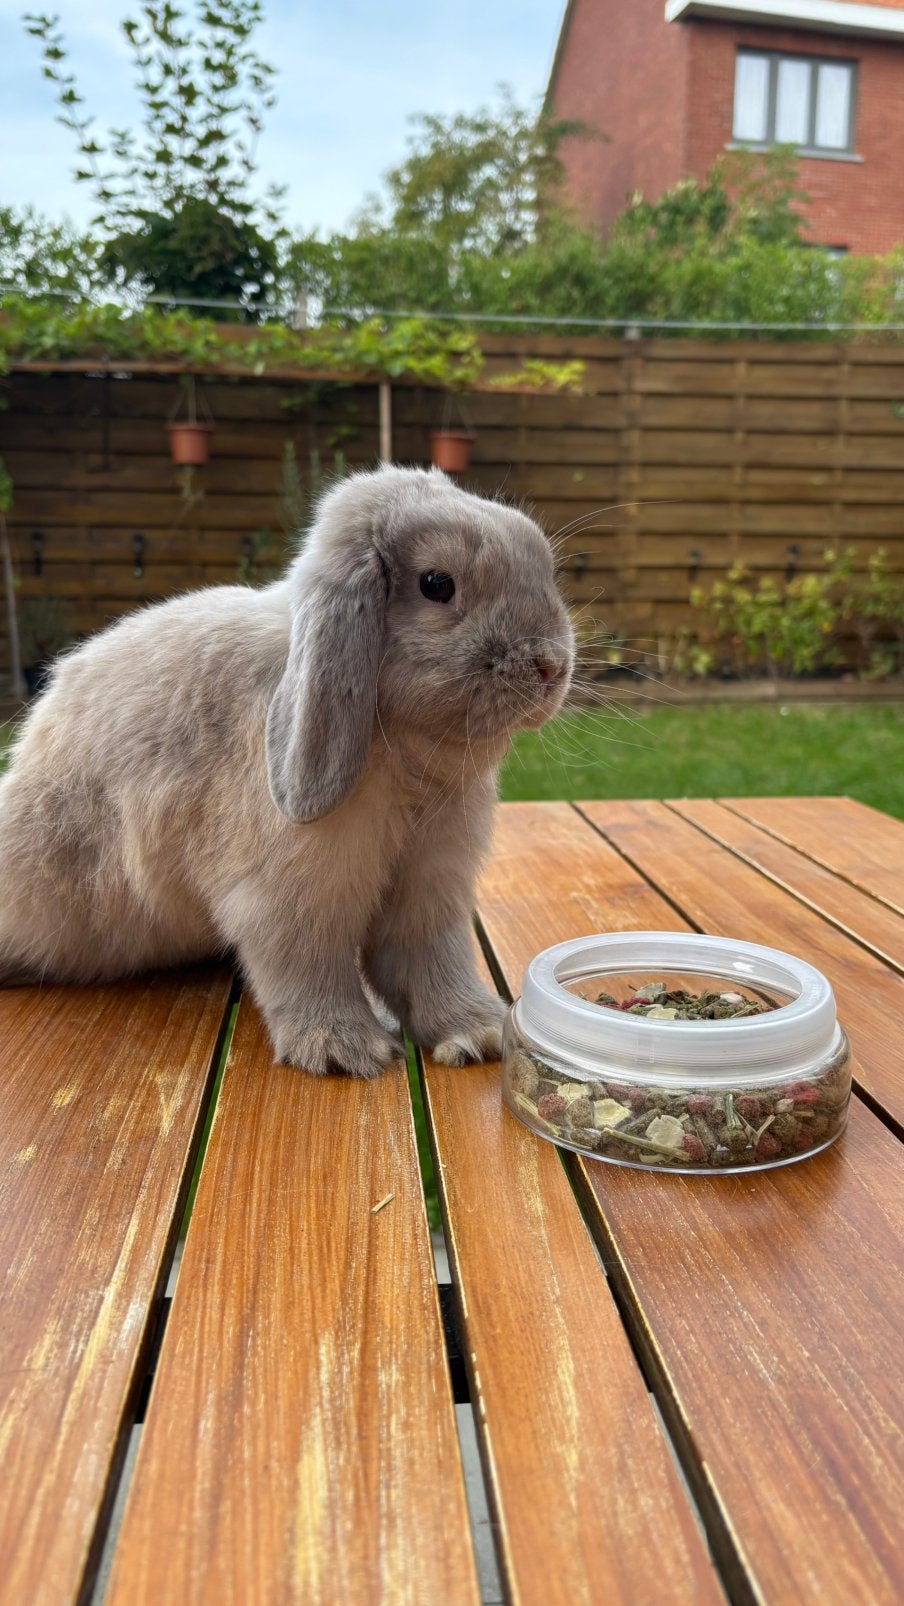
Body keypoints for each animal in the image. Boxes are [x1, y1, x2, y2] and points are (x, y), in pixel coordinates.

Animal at [0, 464, 574, 1078]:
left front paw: (477, 1034)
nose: (551, 667)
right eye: (437, 584)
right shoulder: (289, 896)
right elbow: (307, 968)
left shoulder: (431, 890)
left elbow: (428, 963)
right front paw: (346, 1051)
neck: (406, 754)